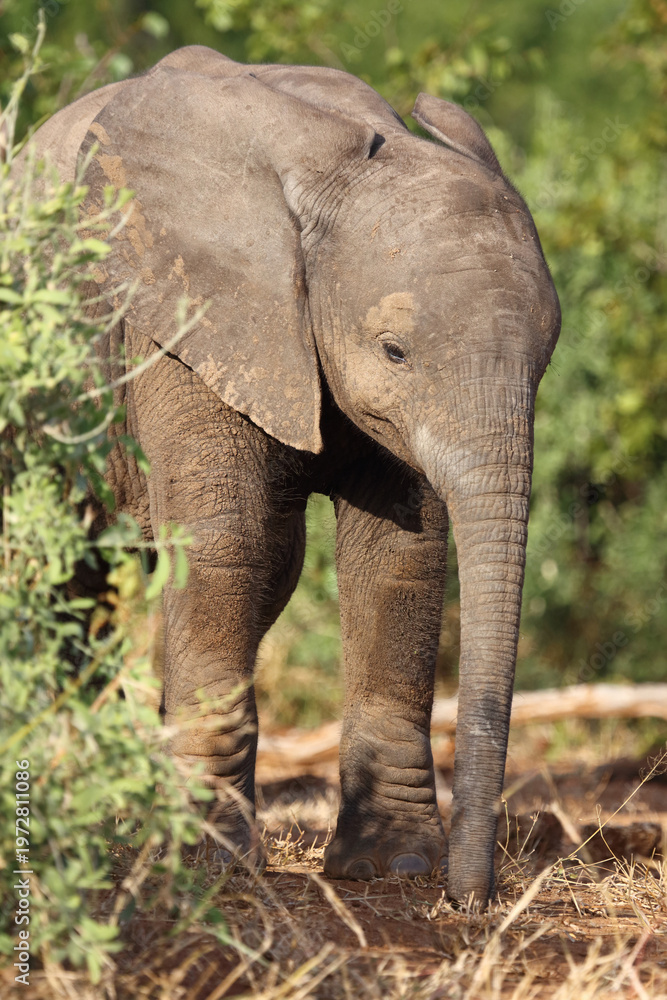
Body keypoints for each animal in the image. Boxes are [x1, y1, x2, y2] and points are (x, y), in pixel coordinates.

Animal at [16, 45, 560, 904]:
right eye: (393, 350)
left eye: (546, 356)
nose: (472, 902)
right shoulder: (181, 313)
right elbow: (224, 546)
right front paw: (203, 861)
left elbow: (398, 559)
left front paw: (392, 866)